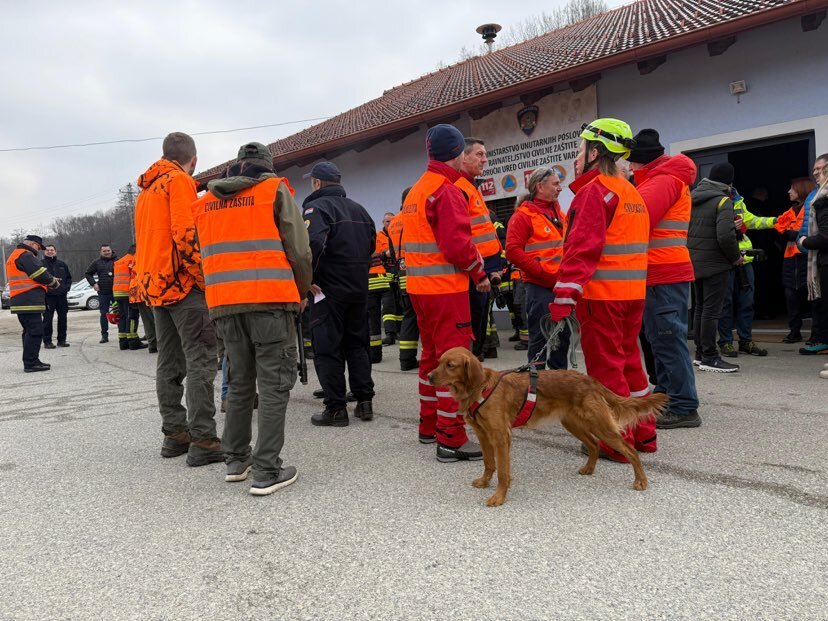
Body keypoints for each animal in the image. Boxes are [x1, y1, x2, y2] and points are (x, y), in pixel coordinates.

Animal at [430, 346, 668, 506]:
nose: (429, 376)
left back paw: (641, 481)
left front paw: (498, 496)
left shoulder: (500, 436)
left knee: (629, 450)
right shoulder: (483, 434)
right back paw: (589, 469)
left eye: (450, 365)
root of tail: (589, 380)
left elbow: (503, 472)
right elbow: (489, 463)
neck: (480, 388)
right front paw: (484, 481)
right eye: (439, 362)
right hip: (574, 424)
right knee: (594, 445)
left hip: (601, 425)